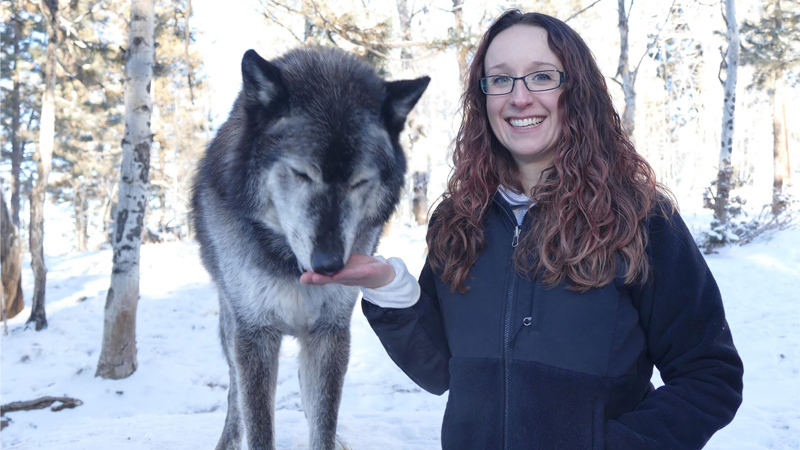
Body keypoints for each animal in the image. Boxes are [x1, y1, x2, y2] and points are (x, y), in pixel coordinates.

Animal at [191, 46, 428, 450]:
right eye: (302, 173)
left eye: (359, 182)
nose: (329, 264)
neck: (290, 265)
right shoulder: (254, 334)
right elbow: (257, 425)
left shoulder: (330, 331)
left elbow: (323, 420)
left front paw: (330, 436)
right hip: (230, 323)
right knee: (234, 391)